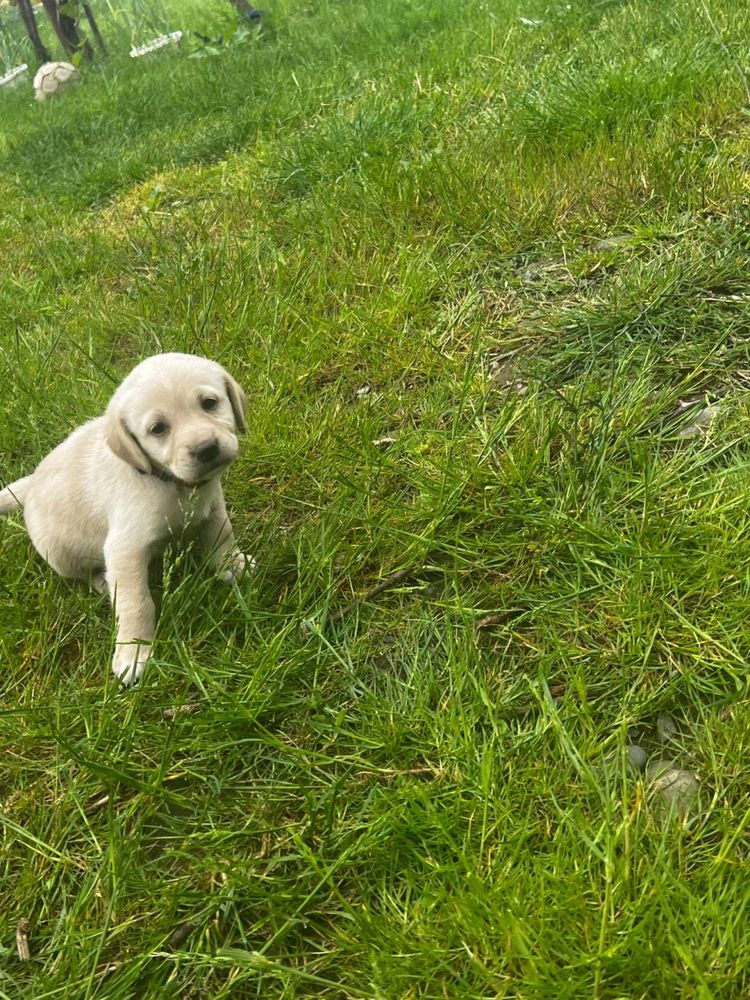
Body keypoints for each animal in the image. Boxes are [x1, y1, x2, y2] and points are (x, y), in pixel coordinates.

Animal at [0, 352, 253, 688]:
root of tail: (31, 485)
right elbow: (137, 603)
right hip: (59, 554)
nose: (206, 449)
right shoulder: (125, 549)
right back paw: (103, 582)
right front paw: (133, 653)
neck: (169, 481)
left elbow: (223, 536)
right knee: (84, 574)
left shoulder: (212, 505)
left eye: (209, 403)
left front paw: (233, 565)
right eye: (158, 429)